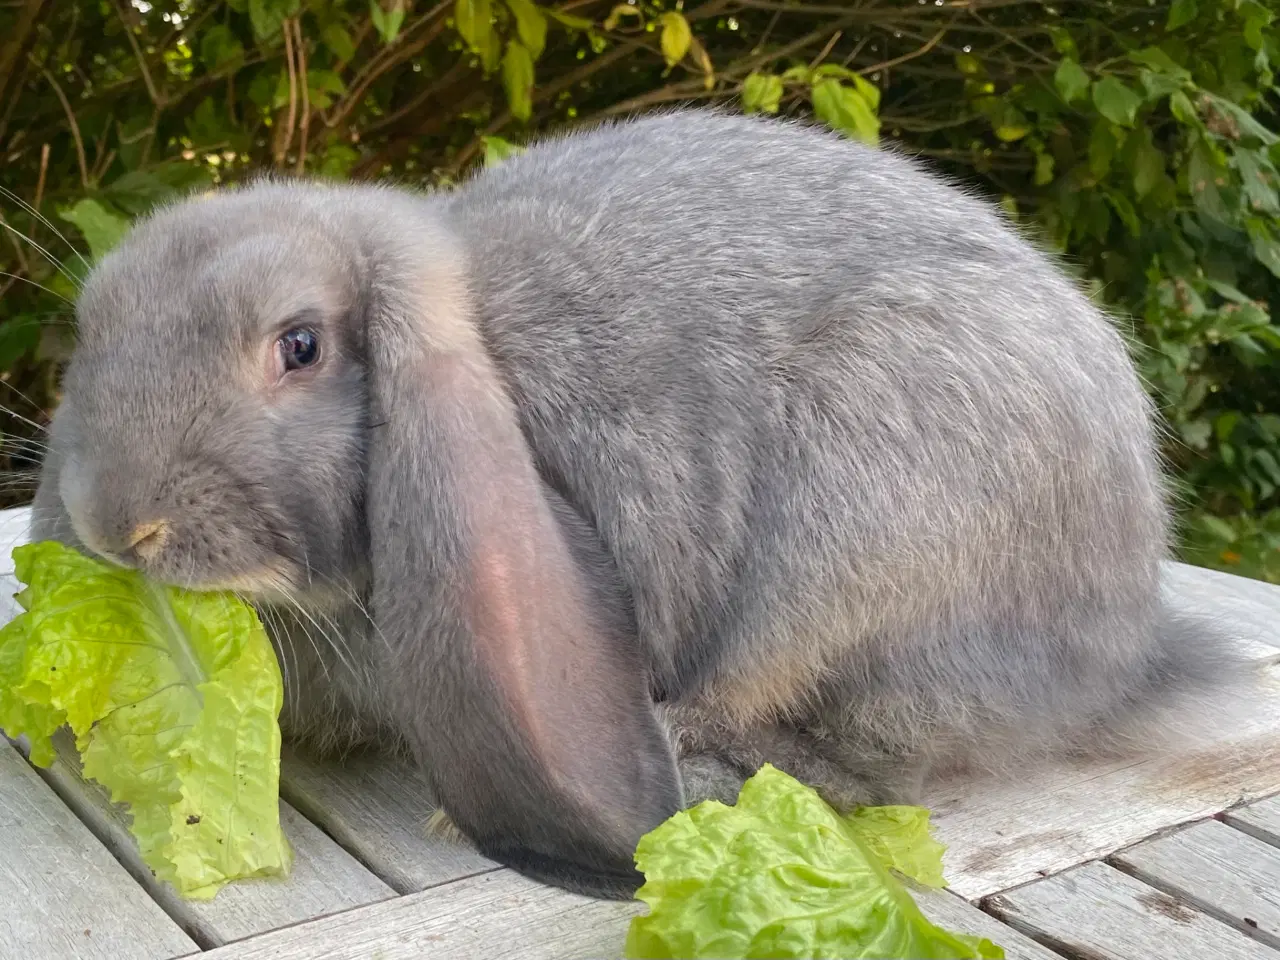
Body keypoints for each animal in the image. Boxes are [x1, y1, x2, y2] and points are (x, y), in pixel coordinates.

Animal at [27, 108, 1239, 906]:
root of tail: (1126, 647)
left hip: (855, 542)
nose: (115, 523)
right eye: (95, 321)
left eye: (299, 346)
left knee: (862, 754)